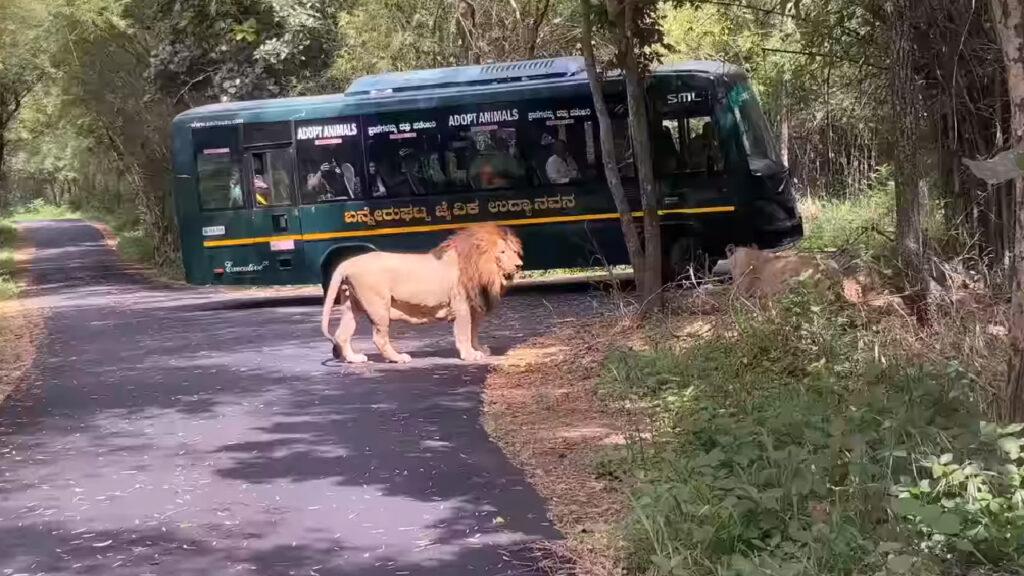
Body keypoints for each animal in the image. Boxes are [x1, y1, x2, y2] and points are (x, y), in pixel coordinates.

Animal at [319, 222, 524, 360]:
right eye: (503, 252)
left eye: (515, 251)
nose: (519, 265)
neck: (482, 268)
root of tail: (348, 262)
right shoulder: (462, 307)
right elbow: (465, 332)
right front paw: (469, 355)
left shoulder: (475, 307)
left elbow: (474, 332)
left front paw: (479, 350)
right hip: (379, 307)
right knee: (379, 338)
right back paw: (398, 358)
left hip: (351, 306)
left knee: (342, 334)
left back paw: (354, 359)